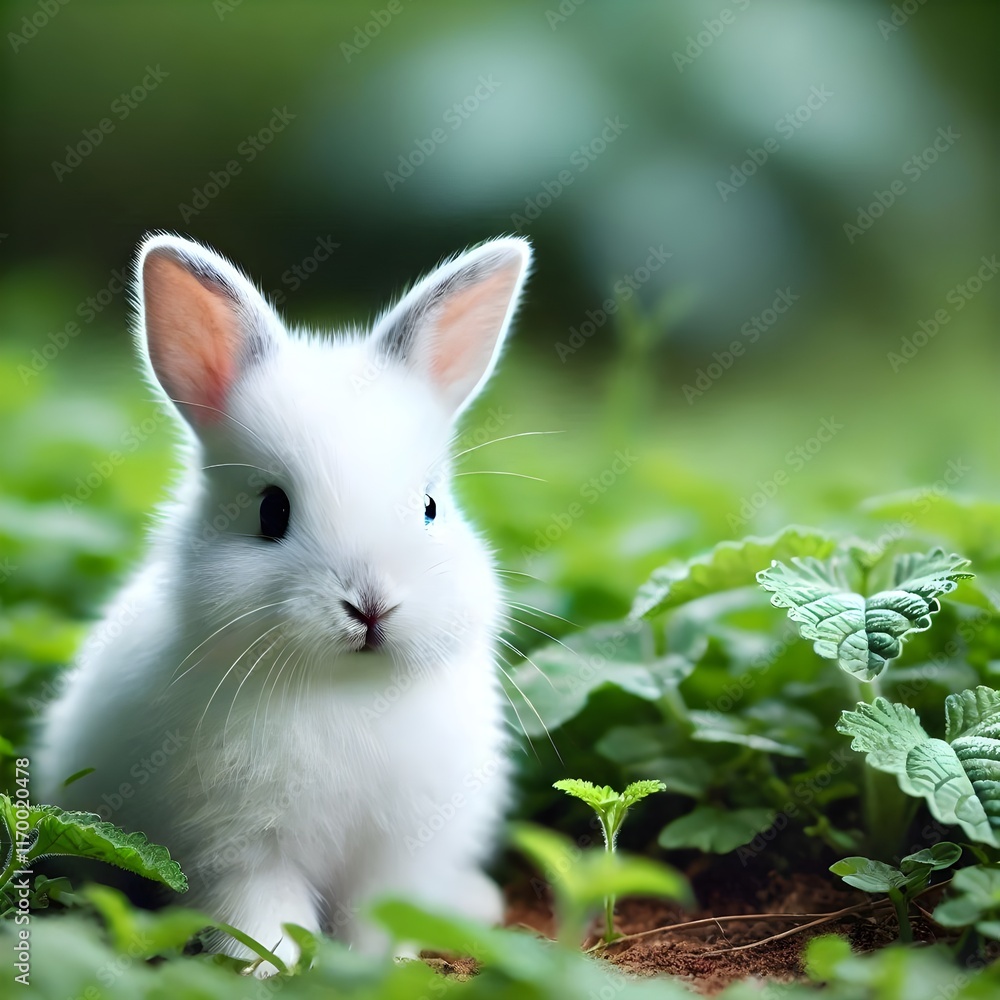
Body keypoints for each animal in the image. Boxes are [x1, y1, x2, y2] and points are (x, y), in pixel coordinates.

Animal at [35, 231, 532, 977]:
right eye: (272, 511)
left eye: (429, 507)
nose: (370, 607)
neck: (347, 690)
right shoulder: (241, 846)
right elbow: (261, 915)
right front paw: (269, 971)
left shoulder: (397, 848)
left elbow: (380, 916)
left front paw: (383, 968)